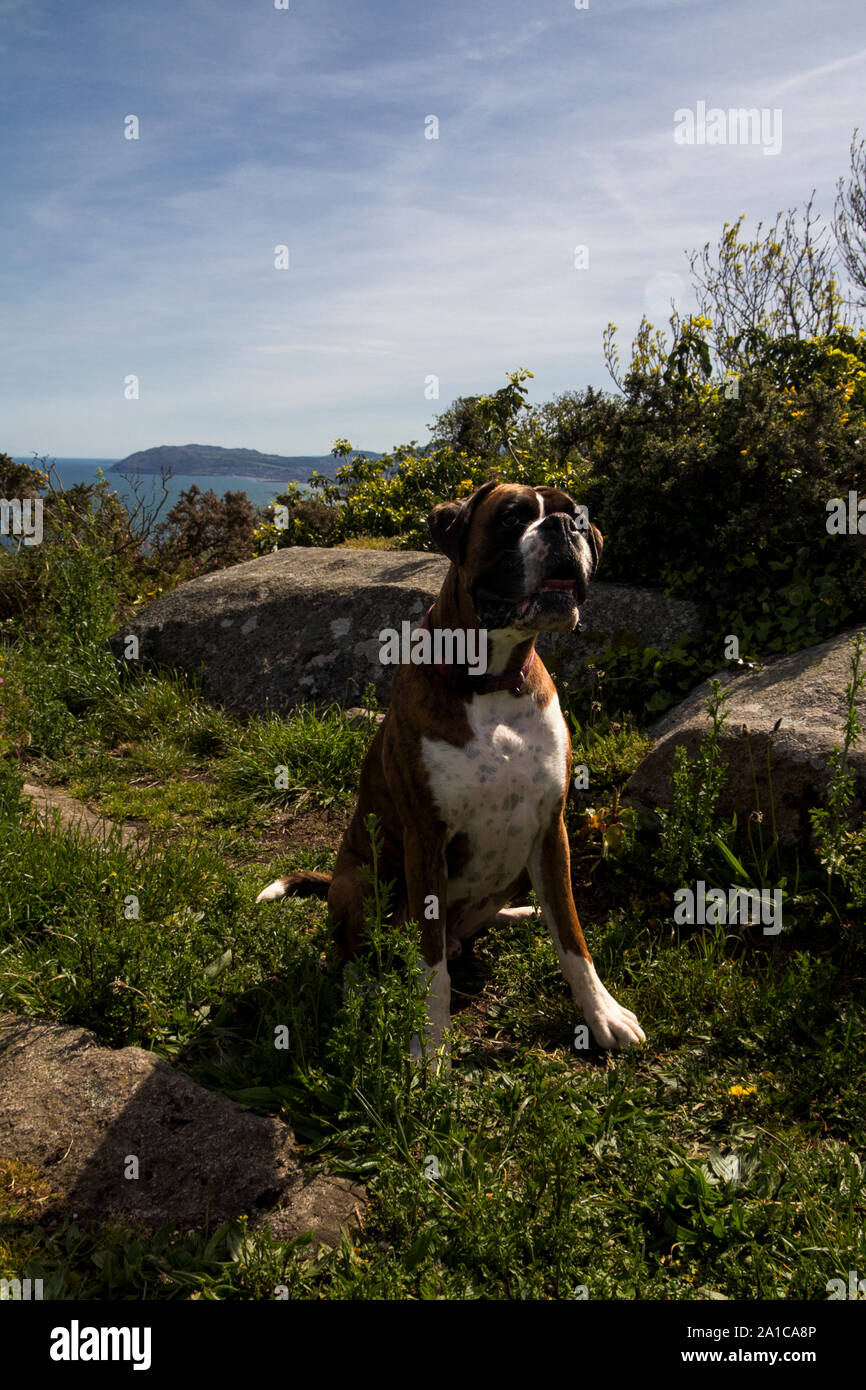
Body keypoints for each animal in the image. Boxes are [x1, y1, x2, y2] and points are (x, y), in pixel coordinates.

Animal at [255, 478, 644, 1061]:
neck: (490, 683)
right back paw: (358, 991)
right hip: (365, 880)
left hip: (515, 868)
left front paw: (603, 1015)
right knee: (350, 951)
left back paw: (517, 915)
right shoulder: (427, 840)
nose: (562, 527)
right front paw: (429, 1046)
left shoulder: (551, 830)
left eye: (577, 517)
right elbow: (431, 966)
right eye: (511, 517)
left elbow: (573, 937)